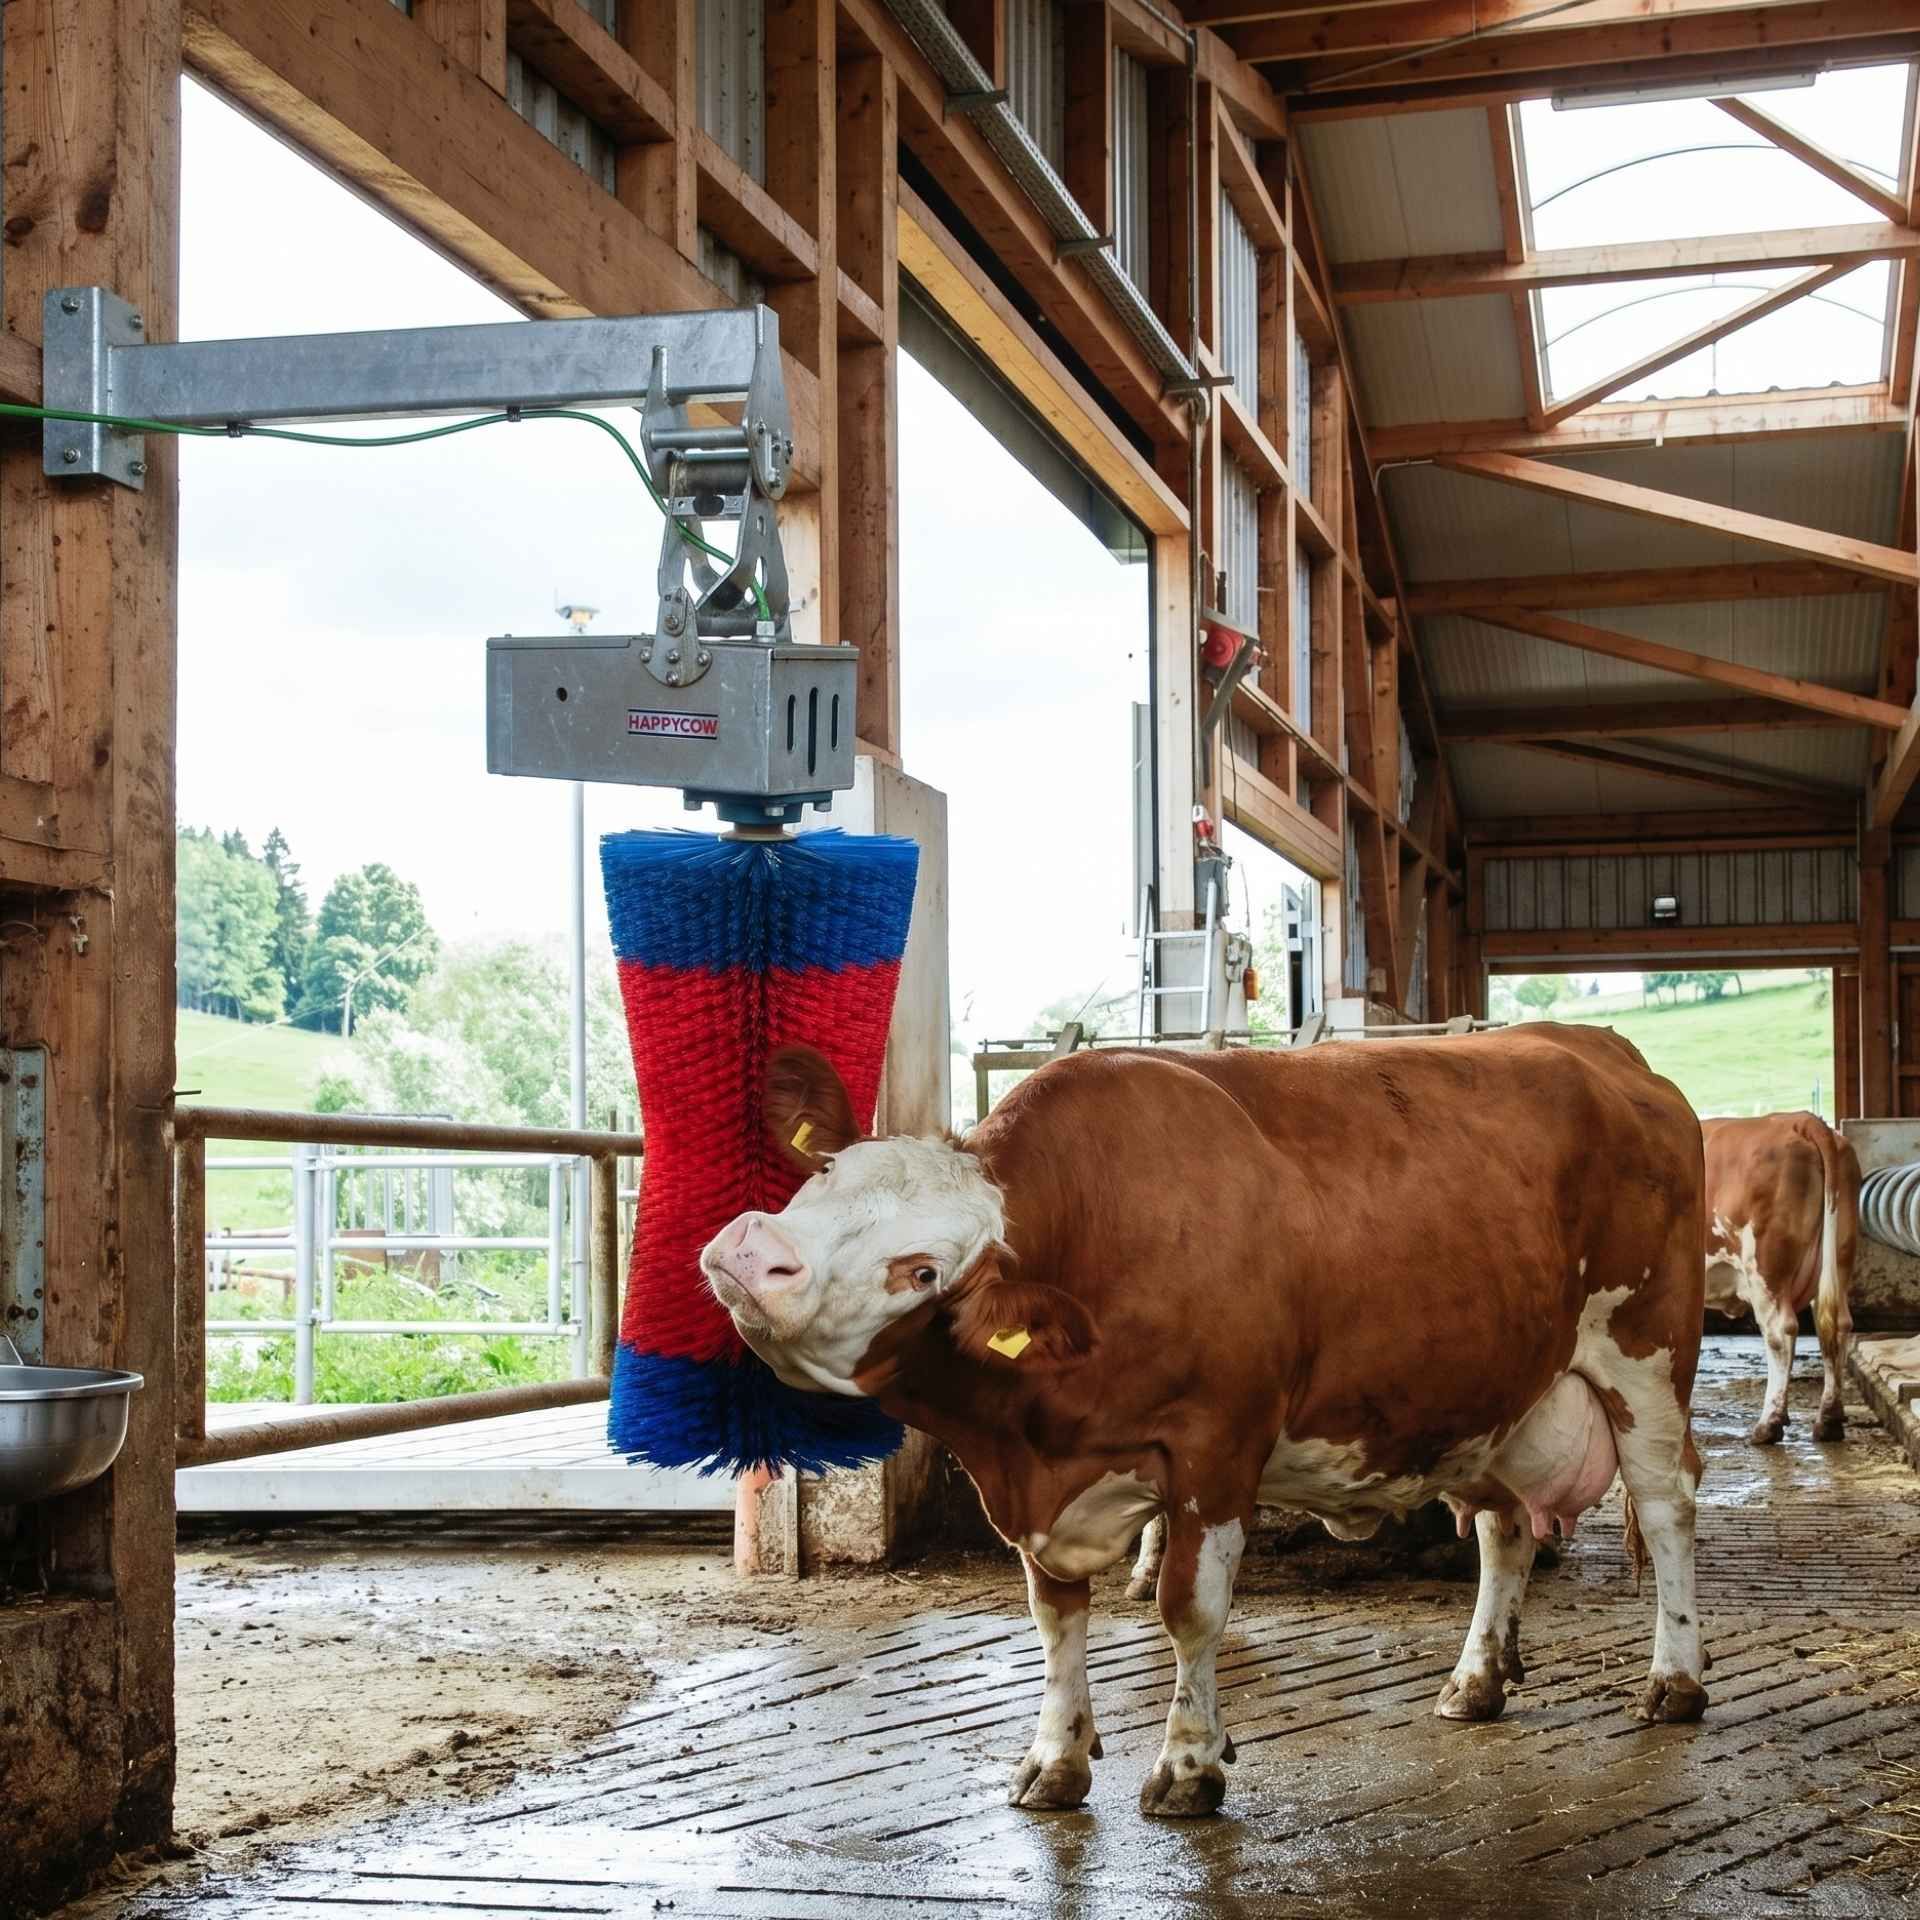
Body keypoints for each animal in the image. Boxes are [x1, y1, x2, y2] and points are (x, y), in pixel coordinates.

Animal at [703, 1024, 1709, 1818]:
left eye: (922, 1273)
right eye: (823, 1179)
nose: (756, 1251)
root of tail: (1601, 1049)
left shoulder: (1218, 1446)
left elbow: (1189, 1609)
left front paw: (1189, 1766)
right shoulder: (1039, 1484)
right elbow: (1053, 1616)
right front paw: (1055, 1759)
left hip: (1647, 1361)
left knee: (1668, 1506)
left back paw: (1675, 1680)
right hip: (1501, 1395)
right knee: (1503, 1531)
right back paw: (1476, 1680)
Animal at [1703, 1111, 1859, 1447]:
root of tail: (1800, 1119)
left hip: (1766, 1271)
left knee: (1780, 1331)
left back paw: (1768, 1424)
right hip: (1838, 1259)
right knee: (1836, 1326)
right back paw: (1829, 1419)